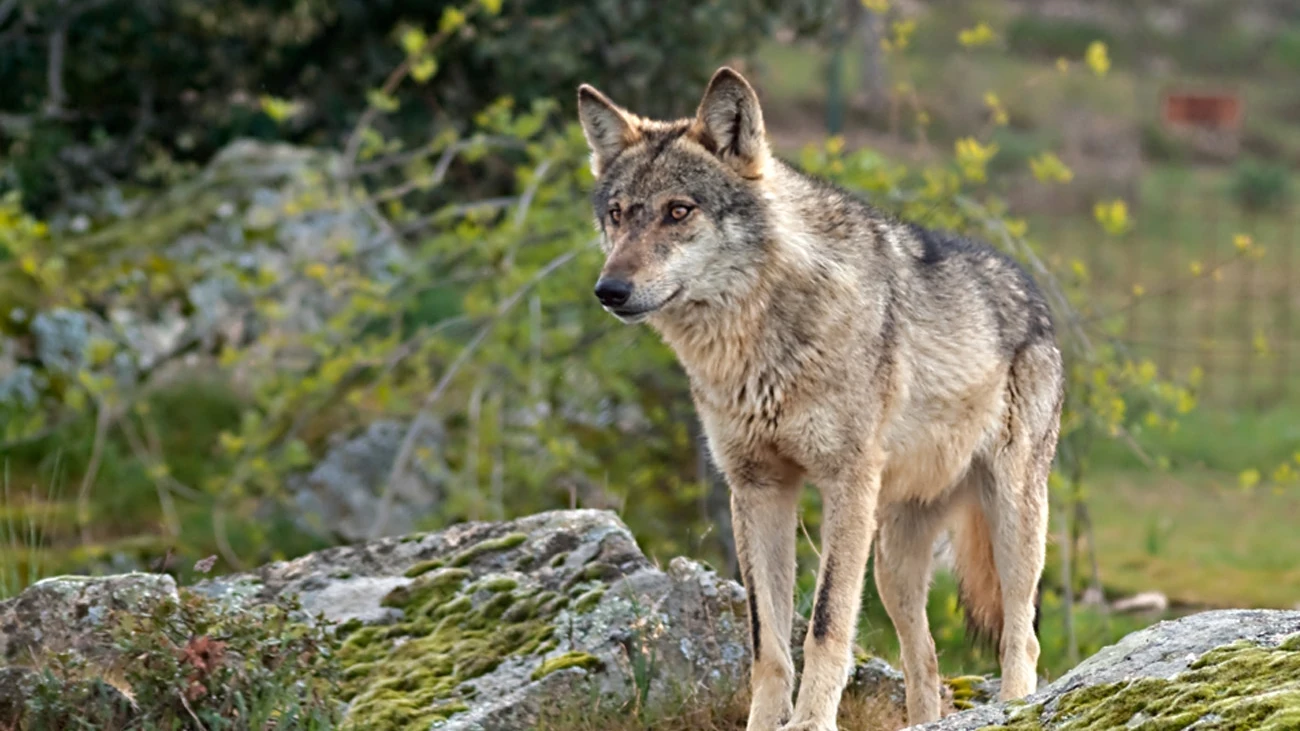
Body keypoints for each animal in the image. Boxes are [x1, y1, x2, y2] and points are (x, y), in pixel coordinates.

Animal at [574, 65, 1060, 723]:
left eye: (678, 211)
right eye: (618, 214)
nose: (610, 290)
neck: (757, 342)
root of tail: (1033, 294)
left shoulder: (843, 483)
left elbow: (826, 624)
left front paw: (809, 722)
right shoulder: (757, 489)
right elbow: (768, 641)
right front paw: (764, 724)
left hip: (1008, 517)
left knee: (1021, 635)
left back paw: (1014, 708)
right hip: (890, 562)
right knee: (927, 661)